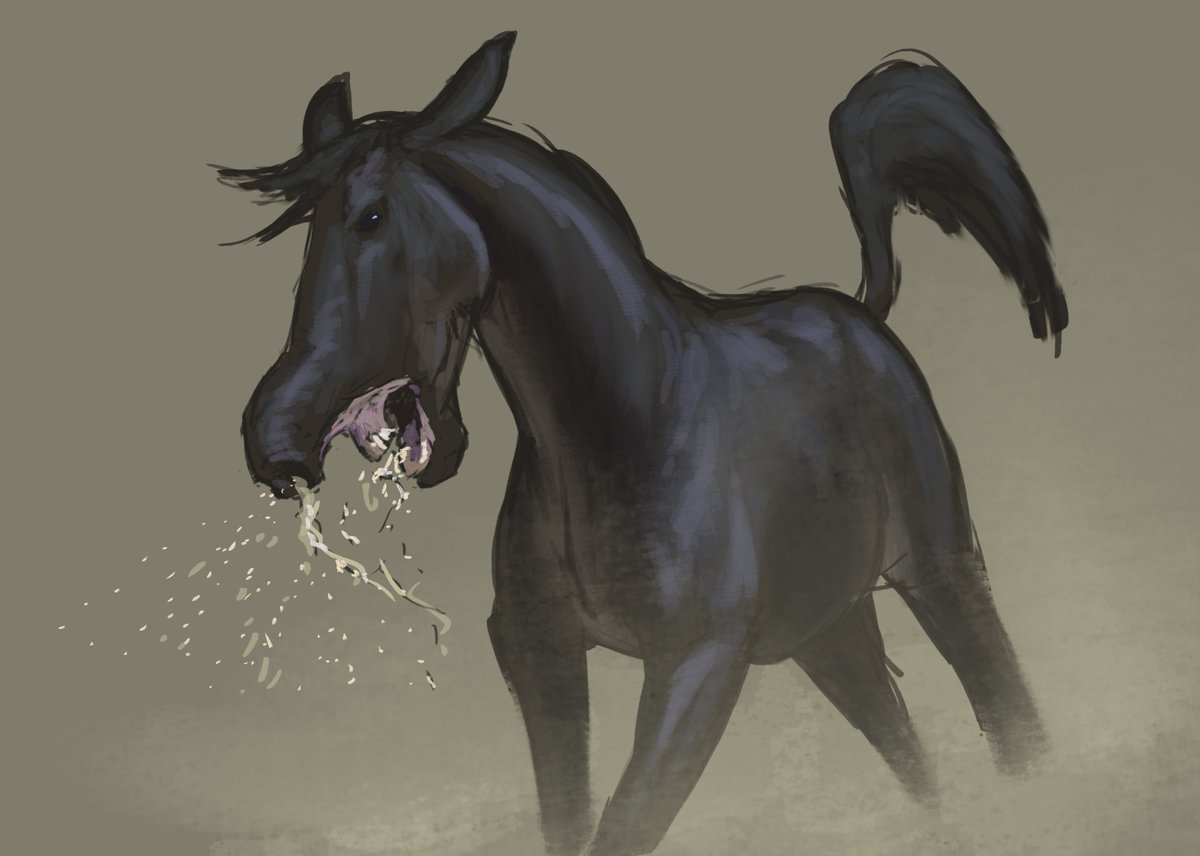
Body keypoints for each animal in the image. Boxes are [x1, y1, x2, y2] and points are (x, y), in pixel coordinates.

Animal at [215, 31, 1064, 856]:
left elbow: (622, 826)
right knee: (914, 757)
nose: (275, 436)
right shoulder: (543, 661)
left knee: (1012, 722)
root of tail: (863, 316)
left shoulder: (696, 669)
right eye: (307, 230)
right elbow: (569, 819)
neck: (621, 430)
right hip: (832, 629)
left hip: (941, 574)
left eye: (370, 217)